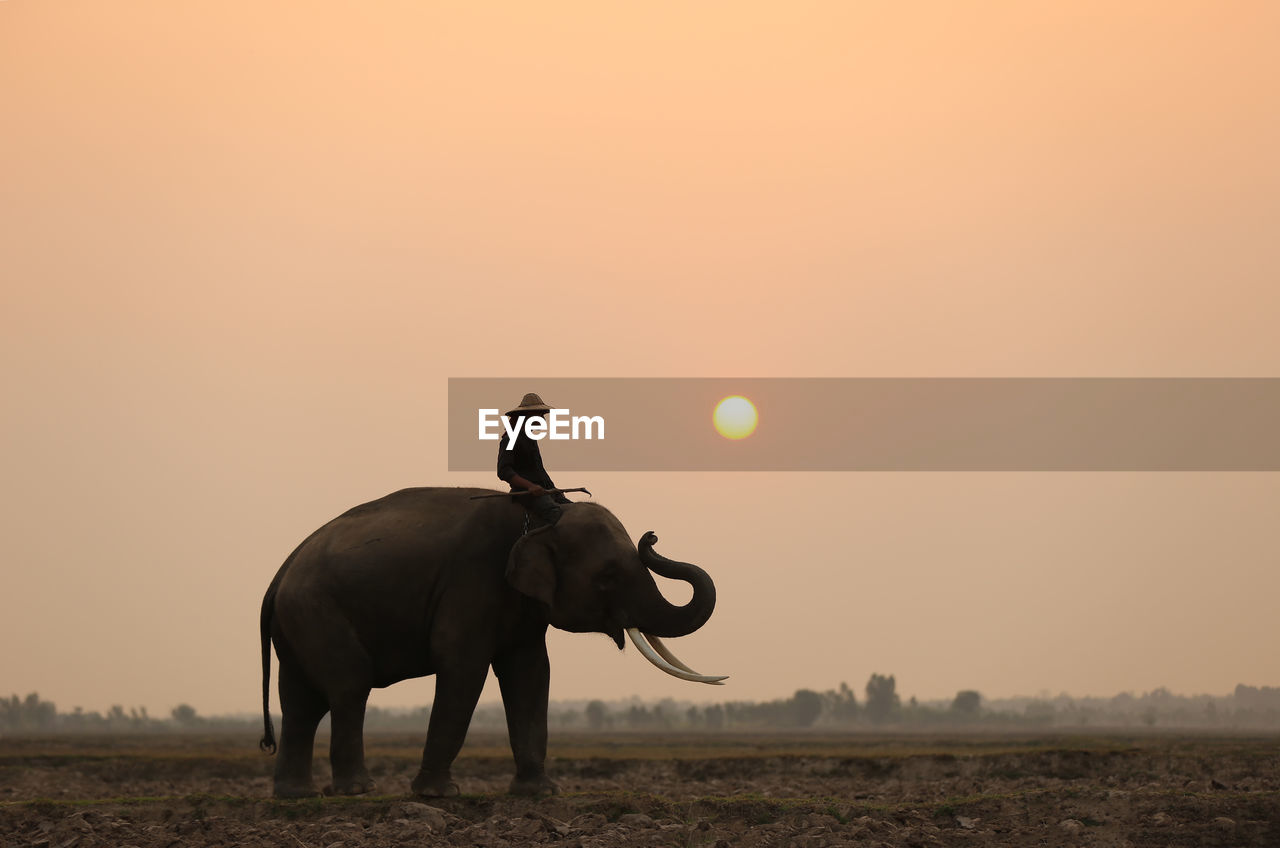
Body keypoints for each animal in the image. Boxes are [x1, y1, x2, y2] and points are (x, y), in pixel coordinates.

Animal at [254, 489, 727, 799]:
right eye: (607, 577)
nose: (652, 538)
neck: (539, 519)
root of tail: (279, 576)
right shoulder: (472, 581)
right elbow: (463, 666)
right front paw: (438, 795)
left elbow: (530, 672)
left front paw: (541, 794)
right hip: (316, 611)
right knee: (349, 687)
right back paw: (356, 791)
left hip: (299, 622)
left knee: (301, 702)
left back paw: (296, 796)